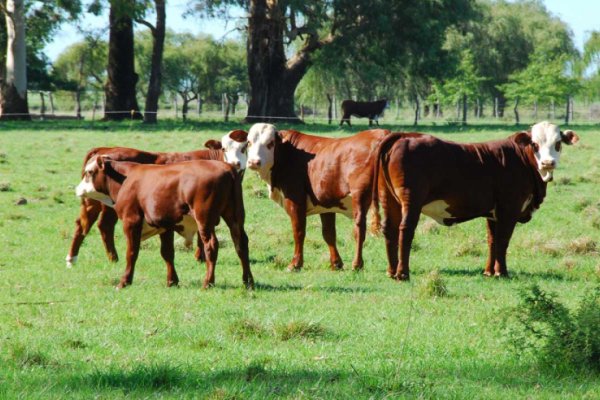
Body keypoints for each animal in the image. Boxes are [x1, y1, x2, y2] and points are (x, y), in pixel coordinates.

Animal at [63, 131, 246, 268]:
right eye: (224, 148)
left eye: (245, 147)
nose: (236, 163)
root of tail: (104, 149)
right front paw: (200, 257)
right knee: (98, 225)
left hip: (93, 202)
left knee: (88, 224)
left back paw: (81, 258)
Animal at [75, 156, 253, 290]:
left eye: (89, 172)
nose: (77, 189)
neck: (125, 179)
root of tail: (227, 167)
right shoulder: (166, 225)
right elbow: (167, 253)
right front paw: (172, 281)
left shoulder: (131, 222)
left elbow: (131, 253)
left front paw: (124, 281)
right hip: (235, 217)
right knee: (241, 244)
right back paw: (248, 281)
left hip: (205, 220)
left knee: (211, 246)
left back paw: (208, 283)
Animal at [245, 122, 390, 272]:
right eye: (249, 142)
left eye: (270, 143)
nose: (254, 162)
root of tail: (381, 133)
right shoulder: (327, 204)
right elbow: (329, 234)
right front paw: (336, 264)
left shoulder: (295, 201)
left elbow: (299, 232)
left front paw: (295, 264)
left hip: (360, 198)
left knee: (359, 230)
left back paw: (357, 264)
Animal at [372, 120, 580, 280]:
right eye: (535, 144)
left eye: (558, 143)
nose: (548, 162)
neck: (520, 159)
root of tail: (405, 135)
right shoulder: (508, 209)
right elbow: (503, 240)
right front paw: (502, 272)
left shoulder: (493, 213)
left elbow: (492, 240)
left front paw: (489, 271)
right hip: (411, 200)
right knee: (405, 230)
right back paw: (403, 273)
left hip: (388, 198)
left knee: (389, 229)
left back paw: (391, 271)